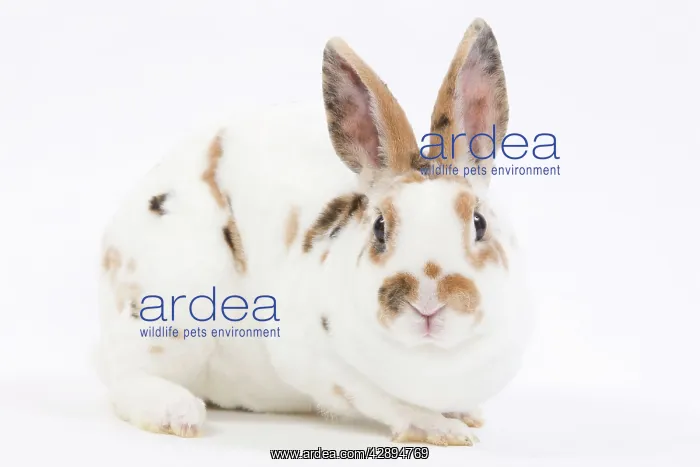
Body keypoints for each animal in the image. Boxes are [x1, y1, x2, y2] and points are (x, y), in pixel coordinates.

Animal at [96, 17, 534, 447]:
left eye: (479, 223)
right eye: (379, 228)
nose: (428, 301)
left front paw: (466, 415)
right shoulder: (319, 362)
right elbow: (383, 401)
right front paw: (442, 429)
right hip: (170, 312)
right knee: (126, 378)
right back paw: (179, 414)